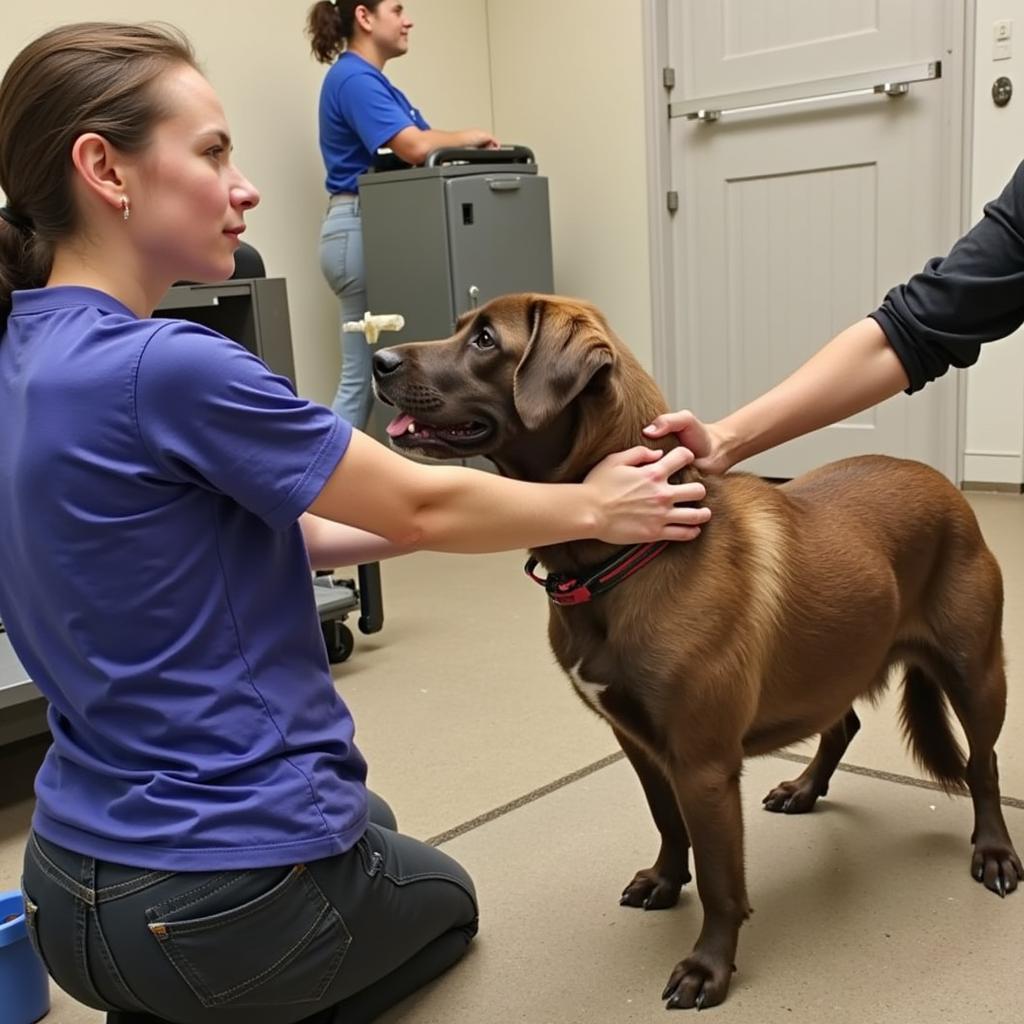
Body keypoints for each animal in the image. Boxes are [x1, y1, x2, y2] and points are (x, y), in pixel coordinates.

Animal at [372, 294, 1019, 1007]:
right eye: (463, 328)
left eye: (486, 339)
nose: (378, 359)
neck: (623, 560)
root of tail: (945, 485)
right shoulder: (639, 742)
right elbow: (666, 821)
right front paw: (664, 880)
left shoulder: (704, 765)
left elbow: (720, 879)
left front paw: (709, 965)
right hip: (836, 663)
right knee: (842, 724)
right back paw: (805, 788)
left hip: (976, 674)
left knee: (983, 765)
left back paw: (993, 851)